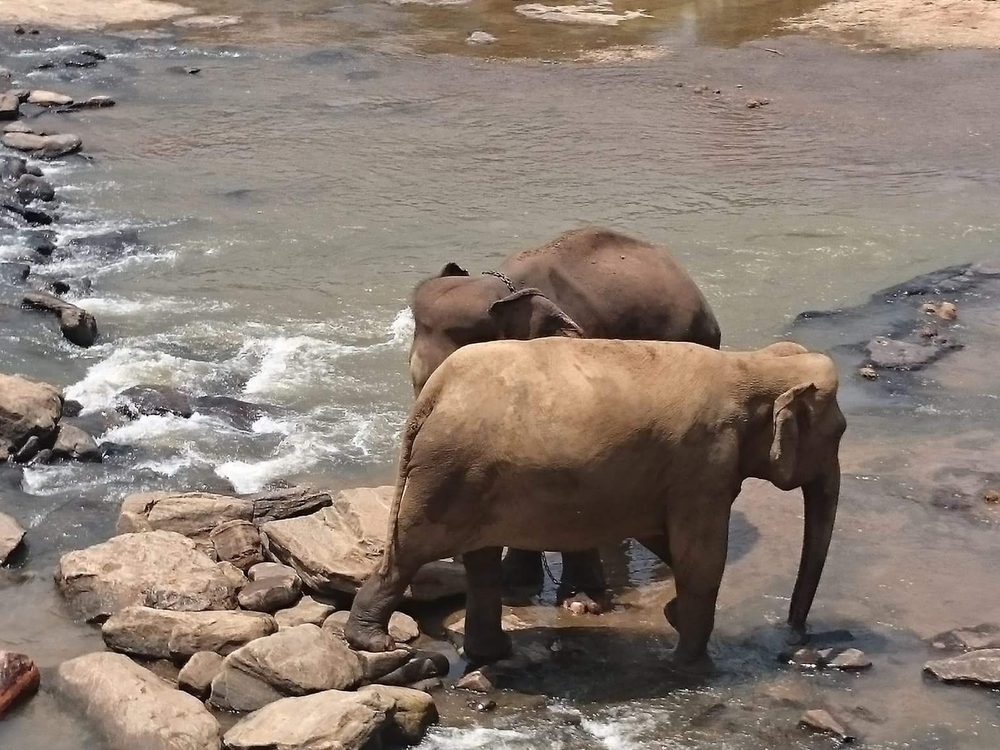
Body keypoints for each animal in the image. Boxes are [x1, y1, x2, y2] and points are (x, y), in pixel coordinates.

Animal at [346, 338, 845, 668]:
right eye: (839, 432)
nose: (794, 636)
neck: (750, 364)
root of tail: (433, 391)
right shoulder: (705, 461)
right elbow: (700, 554)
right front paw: (690, 661)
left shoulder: (677, 473)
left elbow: (663, 536)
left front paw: (674, 618)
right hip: (447, 475)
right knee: (411, 552)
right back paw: (376, 644)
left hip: (471, 477)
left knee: (479, 563)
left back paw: (494, 653)